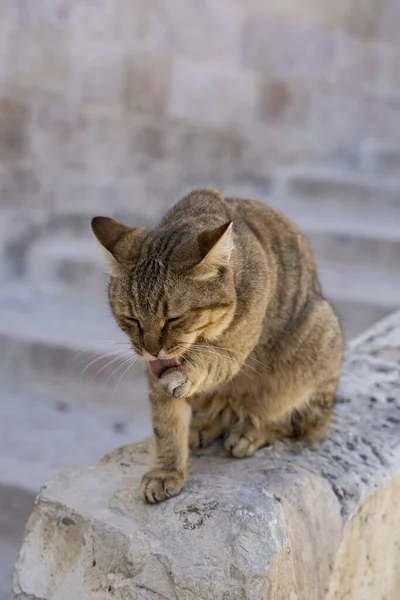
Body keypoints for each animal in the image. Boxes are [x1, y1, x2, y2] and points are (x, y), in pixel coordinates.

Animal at [91, 186, 344, 502]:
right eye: (132, 319)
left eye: (173, 319)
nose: (151, 349)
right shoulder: (155, 377)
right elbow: (165, 424)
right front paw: (166, 470)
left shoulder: (233, 353)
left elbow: (208, 363)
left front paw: (186, 374)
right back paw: (204, 425)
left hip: (316, 338)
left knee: (297, 423)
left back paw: (250, 432)